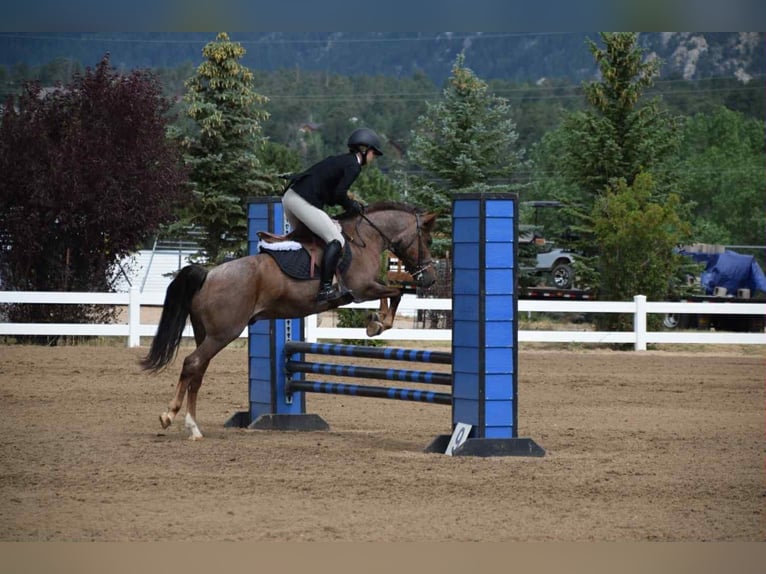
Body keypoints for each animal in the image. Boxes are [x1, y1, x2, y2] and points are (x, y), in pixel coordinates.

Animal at [140, 201, 438, 439]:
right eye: (428, 241)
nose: (430, 279)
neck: (365, 238)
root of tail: (208, 275)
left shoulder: (367, 289)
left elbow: (393, 293)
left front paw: (376, 320)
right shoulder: (362, 289)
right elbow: (396, 292)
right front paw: (378, 323)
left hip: (207, 334)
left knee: (198, 372)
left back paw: (193, 427)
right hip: (222, 334)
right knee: (192, 364)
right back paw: (169, 416)